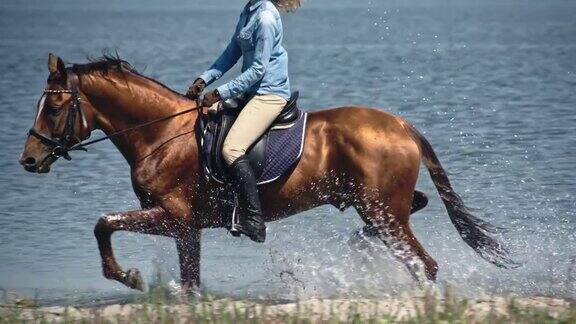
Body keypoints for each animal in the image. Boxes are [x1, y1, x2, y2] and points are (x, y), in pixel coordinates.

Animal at [18, 54, 516, 292]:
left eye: (55, 107)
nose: (28, 160)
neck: (162, 134)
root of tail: (400, 124)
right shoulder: (186, 228)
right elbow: (191, 281)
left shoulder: (172, 216)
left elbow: (103, 224)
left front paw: (131, 278)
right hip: (372, 206)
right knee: (408, 219)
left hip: (384, 211)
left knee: (423, 265)